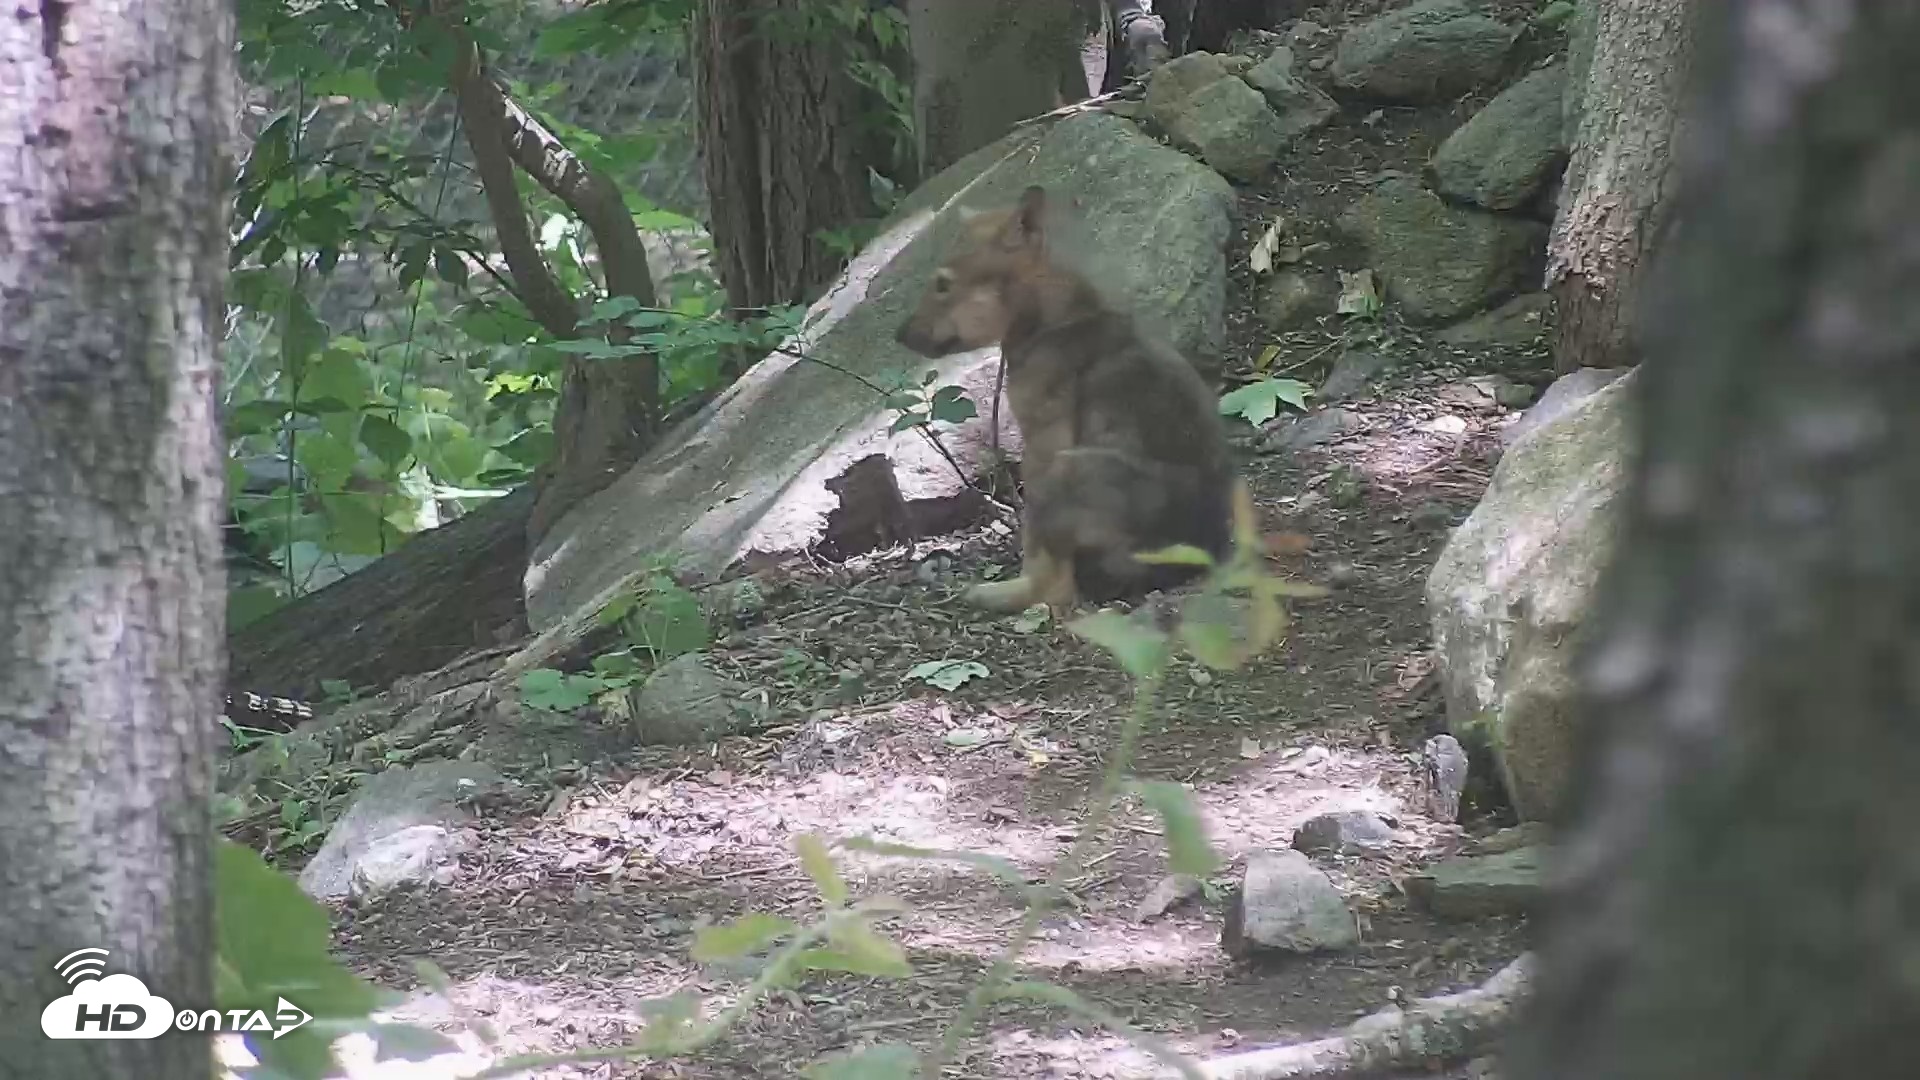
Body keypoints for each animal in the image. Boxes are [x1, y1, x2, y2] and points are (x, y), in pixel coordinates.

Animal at [894, 184, 1239, 613]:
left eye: (942, 284)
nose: (899, 333)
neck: (1053, 320)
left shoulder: (1043, 446)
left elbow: (1037, 555)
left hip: (1066, 471)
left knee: (1060, 588)